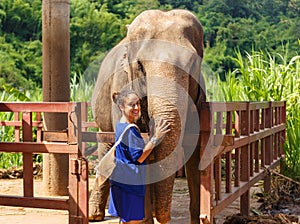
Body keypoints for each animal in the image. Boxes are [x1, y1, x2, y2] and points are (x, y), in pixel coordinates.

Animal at [89, 9, 206, 224]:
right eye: (140, 66)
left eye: (193, 63)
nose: (166, 218)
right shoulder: (121, 88)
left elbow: (194, 151)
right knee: (106, 145)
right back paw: (95, 215)